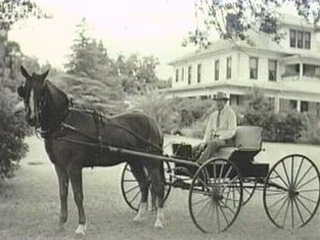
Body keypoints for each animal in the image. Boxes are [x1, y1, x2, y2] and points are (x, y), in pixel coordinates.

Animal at [17, 66, 165, 235]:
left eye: (42, 91)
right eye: (25, 90)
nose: (31, 118)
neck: (64, 123)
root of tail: (153, 122)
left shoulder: (74, 167)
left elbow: (78, 195)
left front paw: (81, 226)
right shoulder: (59, 167)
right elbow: (63, 194)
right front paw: (61, 223)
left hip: (151, 161)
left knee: (158, 187)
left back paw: (159, 220)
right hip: (135, 162)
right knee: (144, 185)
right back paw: (139, 216)